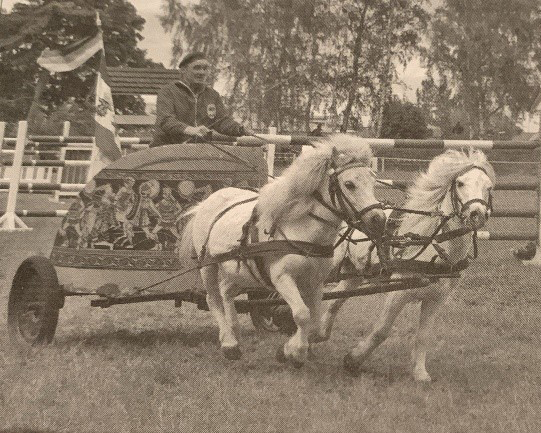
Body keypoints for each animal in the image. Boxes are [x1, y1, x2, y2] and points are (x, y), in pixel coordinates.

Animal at [179, 134, 386, 364]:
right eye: (349, 184)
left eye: (373, 182)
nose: (378, 219)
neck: (303, 231)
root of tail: (208, 201)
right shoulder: (282, 278)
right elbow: (302, 315)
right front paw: (294, 352)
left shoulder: (315, 283)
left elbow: (313, 321)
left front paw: (289, 349)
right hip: (208, 265)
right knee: (213, 298)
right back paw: (229, 343)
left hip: (241, 271)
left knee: (226, 291)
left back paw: (234, 333)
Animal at [314, 148, 496, 382]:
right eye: (460, 183)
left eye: (488, 186)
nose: (477, 214)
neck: (433, 244)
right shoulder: (398, 293)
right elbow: (382, 330)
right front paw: (353, 360)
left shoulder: (436, 299)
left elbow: (423, 335)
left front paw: (420, 373)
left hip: (354, 274)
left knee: (335, 302)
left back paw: (319, 333)